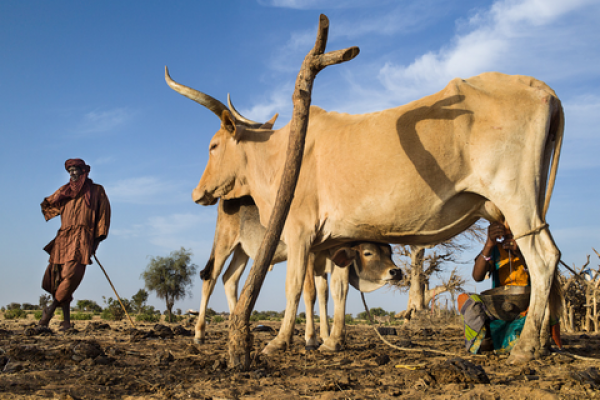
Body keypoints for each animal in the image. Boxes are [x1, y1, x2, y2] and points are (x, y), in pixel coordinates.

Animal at [197, 196, 404, 350]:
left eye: (389, 251)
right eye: (368, 252)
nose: (396, 272)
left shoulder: (325, 264)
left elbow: (325, 295)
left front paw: (326, 336)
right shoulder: (308, 257)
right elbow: (310, 294)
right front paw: (311, 338)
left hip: (242, 250)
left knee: (229, 279)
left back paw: (237, 323)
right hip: (224, 242)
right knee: (210, 279)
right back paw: (199, 333)